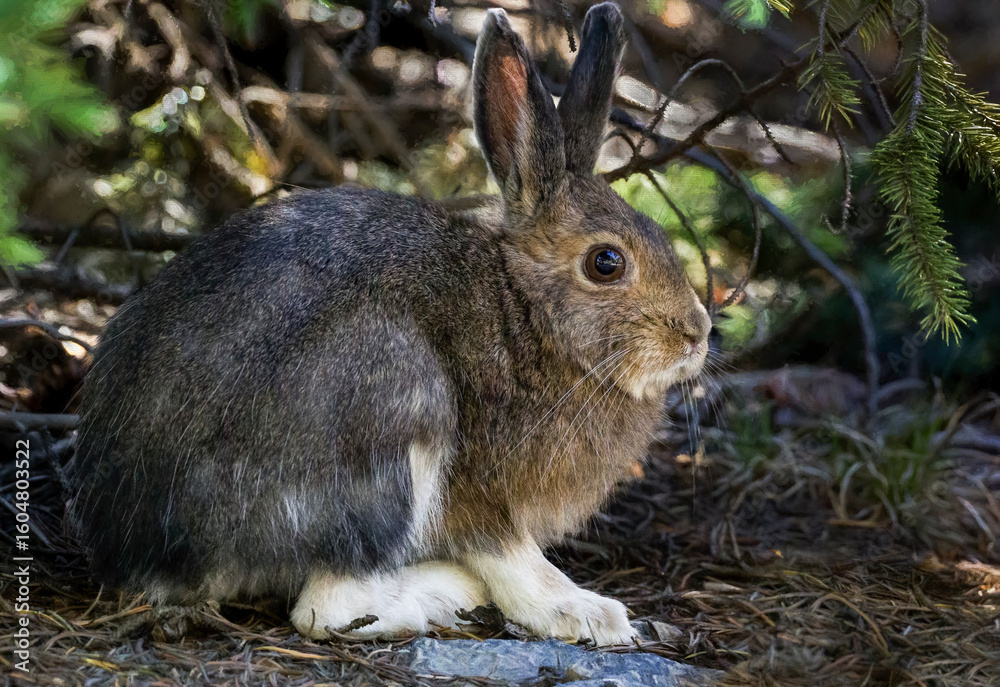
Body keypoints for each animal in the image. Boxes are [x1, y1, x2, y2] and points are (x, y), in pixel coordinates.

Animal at [70, 2, 711, 646]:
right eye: (607, 262)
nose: (697, 333)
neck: (525, 310)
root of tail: (143, 546)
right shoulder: (479, 491)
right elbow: (515, 560)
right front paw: (586, 614)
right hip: (393, 396)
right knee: (323, 607)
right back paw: (445, 595)